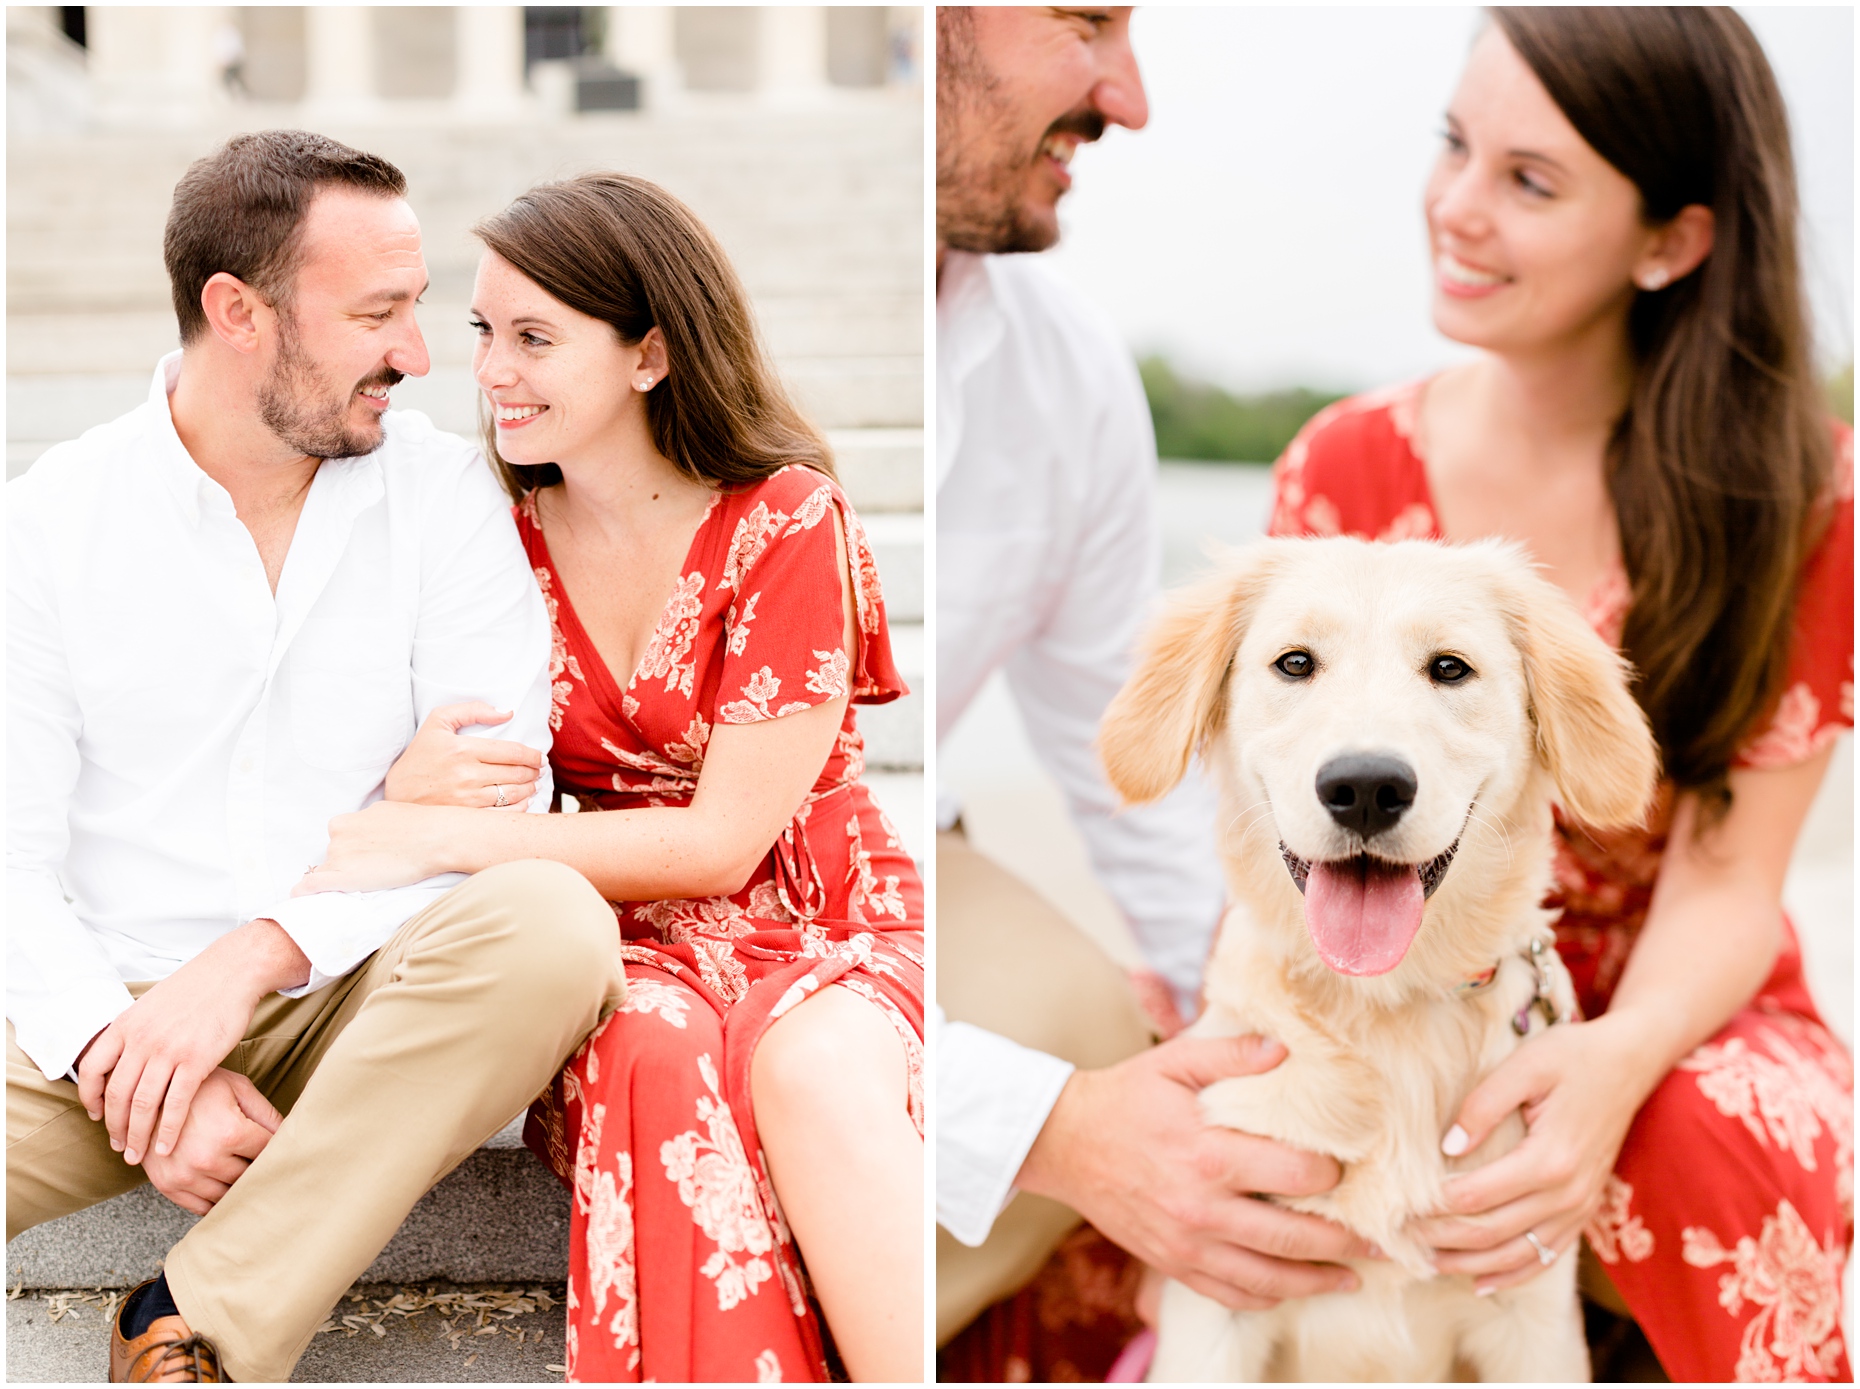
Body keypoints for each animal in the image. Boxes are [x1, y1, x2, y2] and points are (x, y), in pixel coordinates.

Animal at [1093, 531, 1651, 1383]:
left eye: (1450, 667)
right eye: (1295, 662)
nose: (1364, 785)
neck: (1386, 1010)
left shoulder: (1532, 1315)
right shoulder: (1217, 1301)